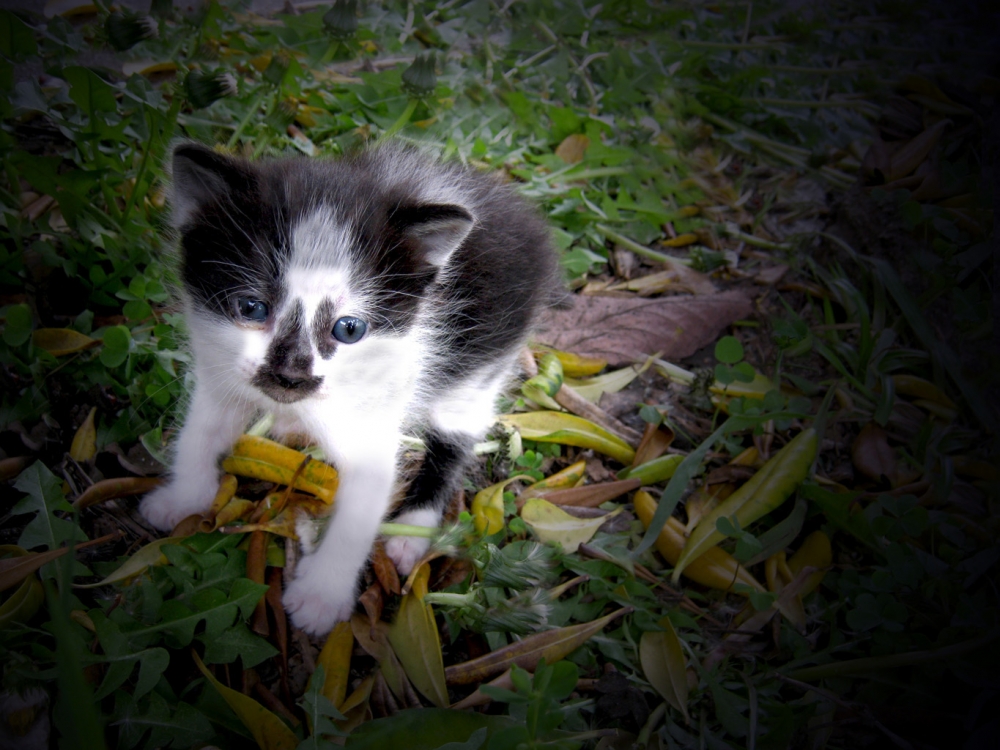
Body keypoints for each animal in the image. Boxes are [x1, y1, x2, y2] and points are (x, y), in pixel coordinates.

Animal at [137, 141, 568, 636]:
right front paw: (183, 499)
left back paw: (412, 531)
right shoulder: (220, 370)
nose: (290, 376)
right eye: (251, 307)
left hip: (481, 365)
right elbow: (200, 432)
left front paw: (321, 595)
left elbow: (360, 509)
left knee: (454, 440)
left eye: (349, 329)